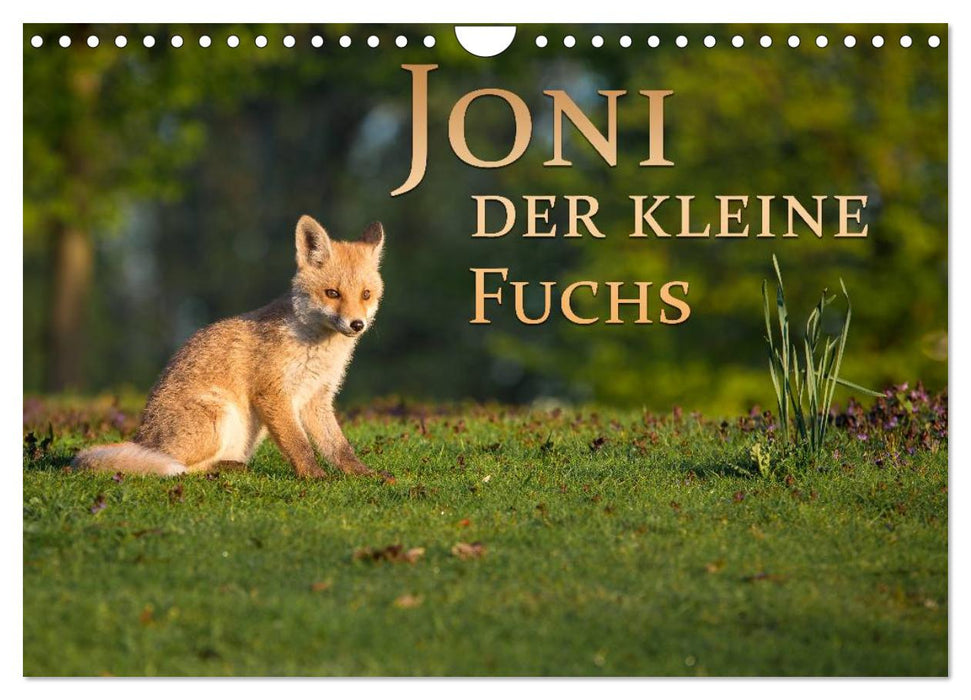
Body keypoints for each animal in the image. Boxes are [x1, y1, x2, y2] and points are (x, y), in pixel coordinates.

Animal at [73, 214, 388, 480]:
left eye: (366, 294)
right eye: (332, 293)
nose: (357, 324)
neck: (317, 350)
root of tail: (143, 439)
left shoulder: (316, 398)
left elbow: (339, 447)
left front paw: (364, 474)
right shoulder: (273, 392)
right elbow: (299, 445)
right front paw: (315, 477)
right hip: (220, 417)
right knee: (181, 467)